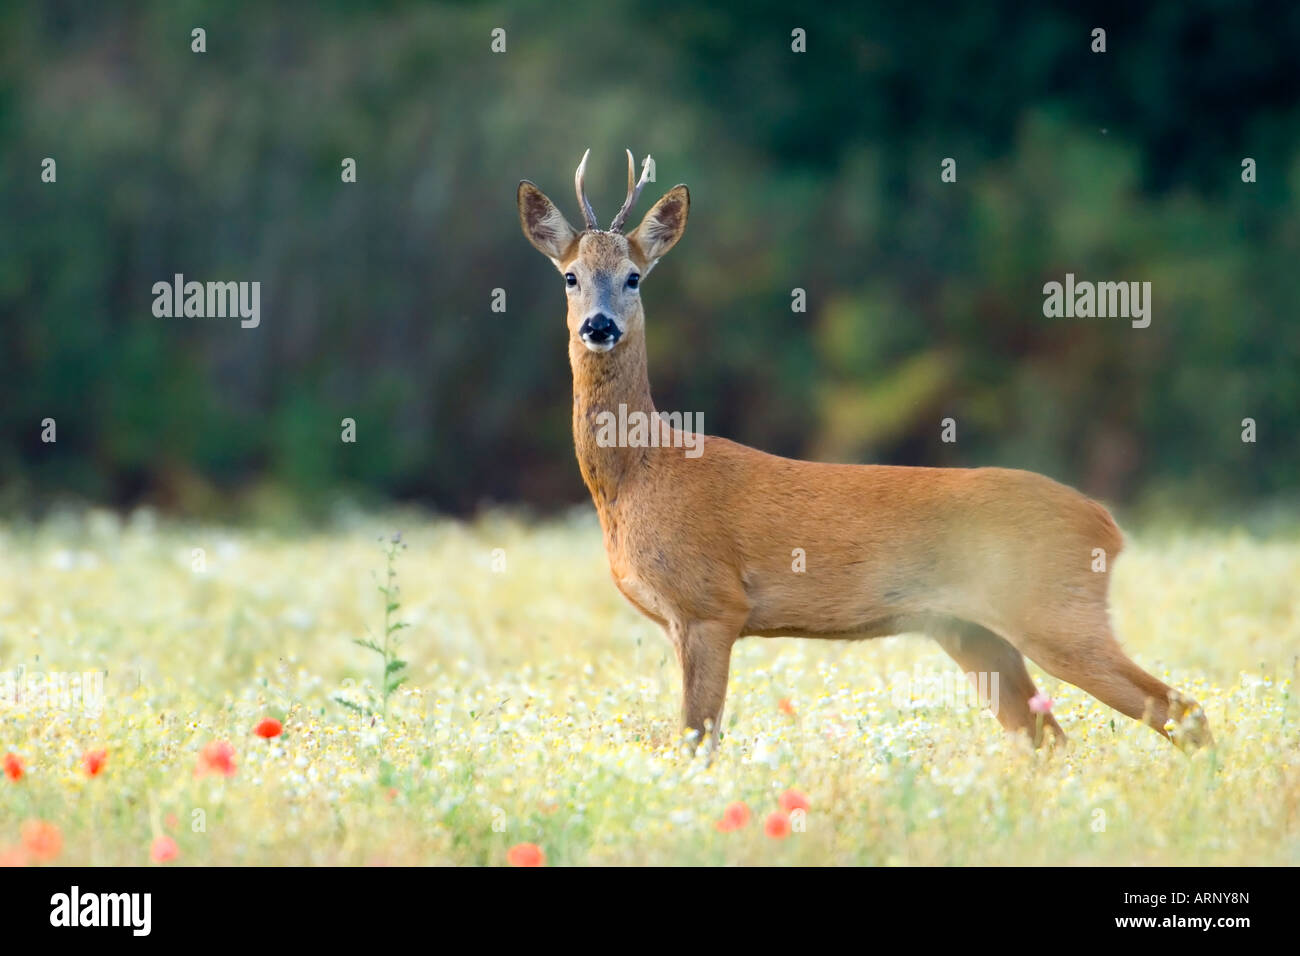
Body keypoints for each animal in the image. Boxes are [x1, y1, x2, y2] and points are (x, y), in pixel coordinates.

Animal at [517, 149, 1213, 755]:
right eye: (570, 276)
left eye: (634, 277)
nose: (599, 326)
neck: (639, 474)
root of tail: (1108, 524)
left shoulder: (710, 605)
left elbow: (695, 741)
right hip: (975, 632)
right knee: (1049, 737)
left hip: (1056, 611)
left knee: (1182, 710)